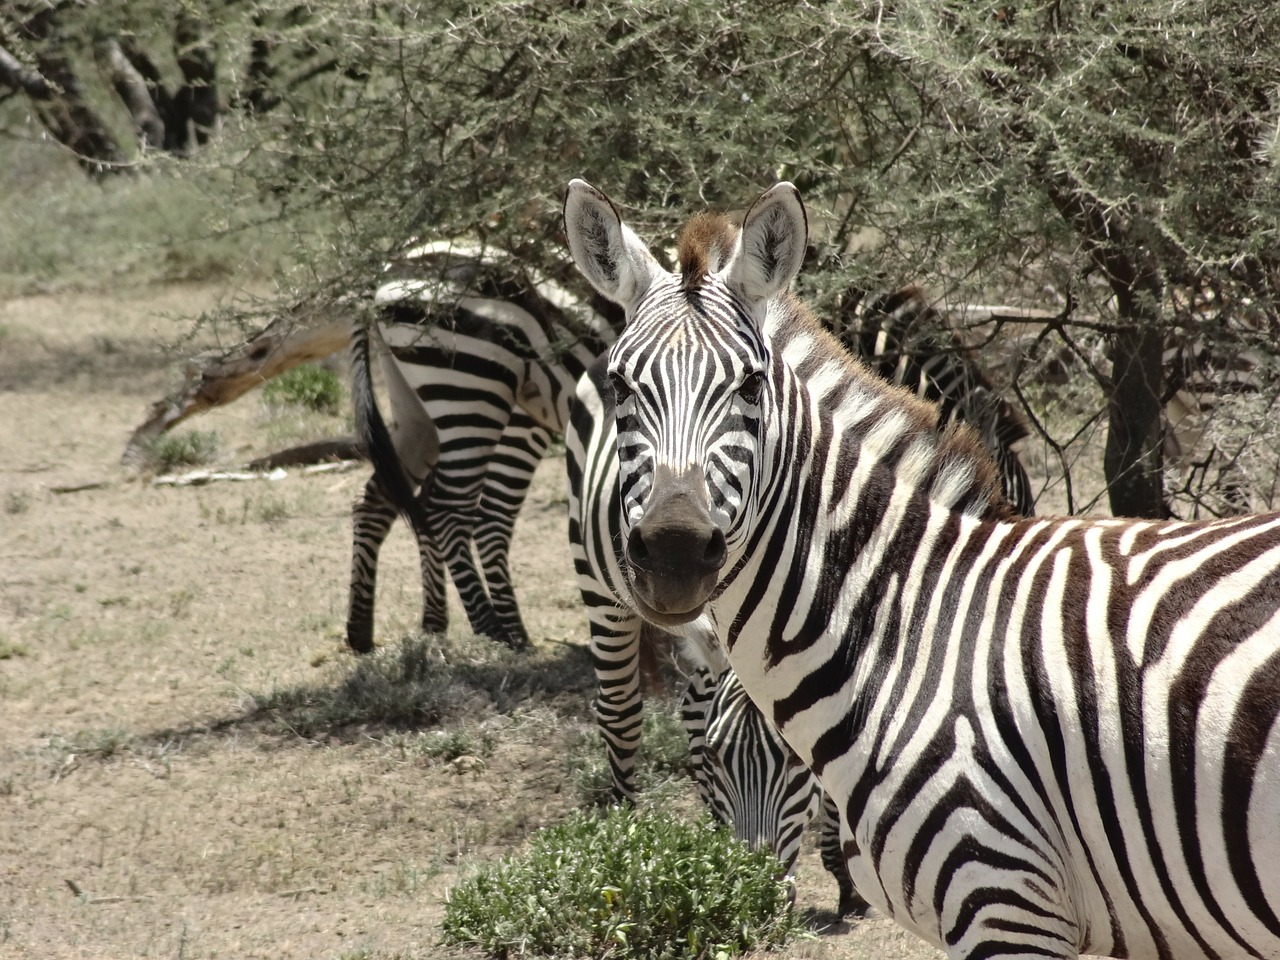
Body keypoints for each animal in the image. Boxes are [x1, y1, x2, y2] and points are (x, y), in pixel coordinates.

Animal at [350, 241, 614, 655]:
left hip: (418, 408)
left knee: (380, 498)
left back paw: (368, 628)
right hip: (471, 388)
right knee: (452, 510)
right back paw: (494, 630)